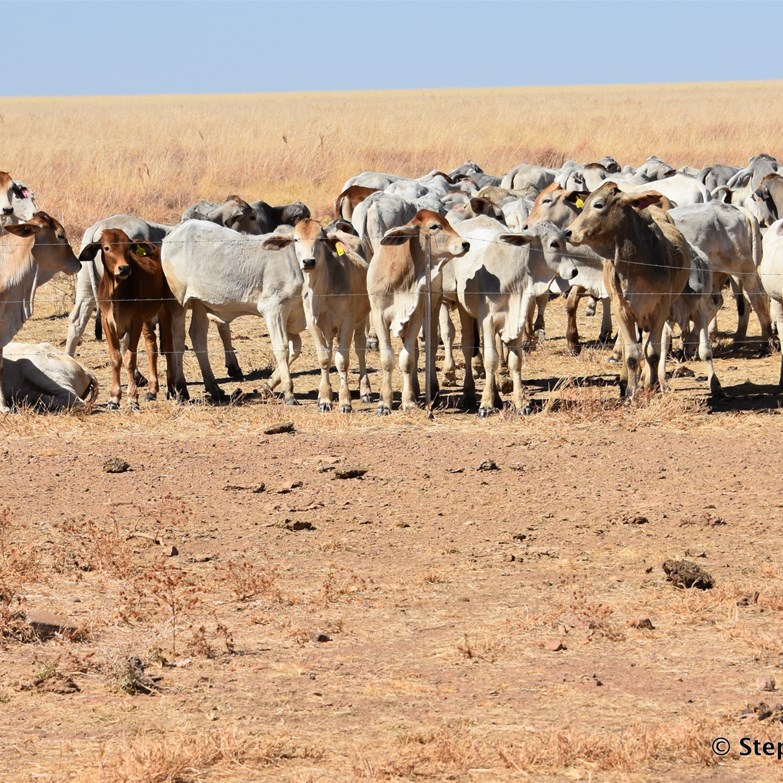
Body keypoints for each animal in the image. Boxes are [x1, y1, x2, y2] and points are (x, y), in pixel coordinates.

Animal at [79, 229, 177, 409]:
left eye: (128, 248)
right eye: (106, 247)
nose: (124, 268)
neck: (117, 294)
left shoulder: (134, 322)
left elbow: (130, 359)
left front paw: (132, 399)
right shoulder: (108, 323)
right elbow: (116, 358)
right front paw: (114, 399)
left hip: (165, 309)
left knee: (167, 344)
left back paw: (172, 389)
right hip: (147, 319)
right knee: (151, 344)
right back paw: (152, 391)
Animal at [161, 221, 306, 405]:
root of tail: (177, 230)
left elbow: (295, 349)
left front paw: (268, 385)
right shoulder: (274, 309)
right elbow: (283, 347)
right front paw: (288, 393)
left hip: (200, 302)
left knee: (198, 336)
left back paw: (214, 388)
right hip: (179, 301)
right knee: (178, 340)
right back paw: (181, 390)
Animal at [262, 219, 372, 412]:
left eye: (320, 239)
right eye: (296, 239)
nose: (308, 261)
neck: (323, 291)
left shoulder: (347, 323)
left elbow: (342, 361)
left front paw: (345, 401)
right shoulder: (313, 324)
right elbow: (324, 359)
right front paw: (325, 399)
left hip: (361, 319)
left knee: (360, 349)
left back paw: (365, 391)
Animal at [367, 210, 469, 415]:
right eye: (434, 226)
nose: (465, 244)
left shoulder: (416, 314)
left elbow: (407, 359)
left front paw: (408, 402)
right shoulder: (378, 316)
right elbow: (387, 359)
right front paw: (384, 402)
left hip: (434, 307)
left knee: (429, 346)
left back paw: (432, 389)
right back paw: (414, 387)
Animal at [565, 183, 720, 398]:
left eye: (598, 204)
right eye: (585, 203)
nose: (568, 232)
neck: (635, 265)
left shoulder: (660, 310)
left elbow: (653, 352)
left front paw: (651, 386)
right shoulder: (622, 310)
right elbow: (631, 354)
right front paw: (631, 391)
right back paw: (625, 381)